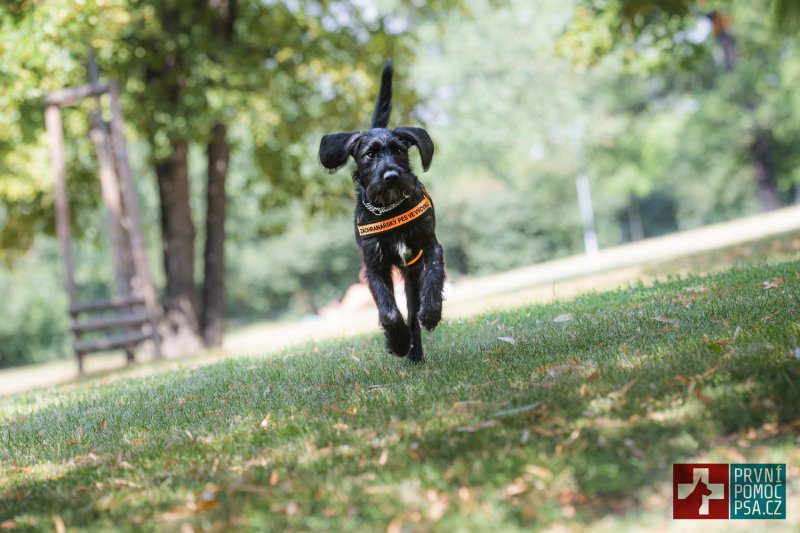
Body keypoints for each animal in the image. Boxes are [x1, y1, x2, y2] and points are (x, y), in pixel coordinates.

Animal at [318, 61, 444, 362]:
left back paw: (416, 351)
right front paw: (397, 341)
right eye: (369, 155)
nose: (391, 176)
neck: (388, 209)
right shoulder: (374, 266)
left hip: (411, 276)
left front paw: (431, 313)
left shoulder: (429, 245)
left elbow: (434, 275)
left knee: (412, 311)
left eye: (398, 150)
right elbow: (388, 310)